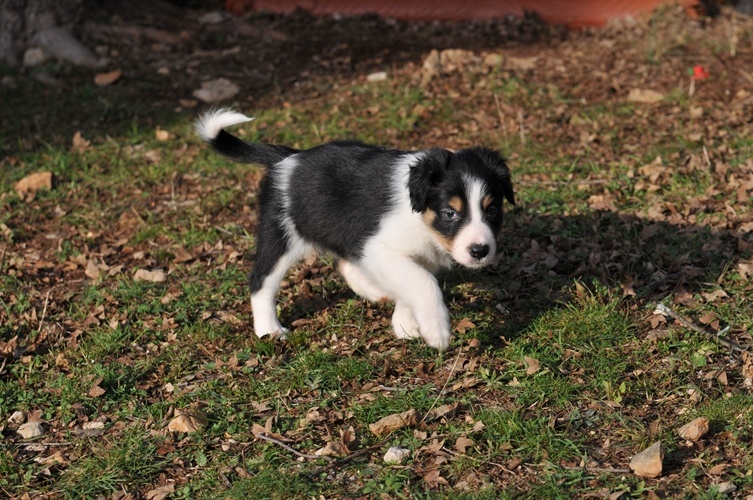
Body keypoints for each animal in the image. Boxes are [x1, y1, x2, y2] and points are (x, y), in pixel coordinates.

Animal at [194, 109, 516, 352]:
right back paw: (269, 330)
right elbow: (423, 282)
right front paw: (436, 330)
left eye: (492, 210)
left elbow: (411, 281)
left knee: (345, 263)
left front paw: (405, 324)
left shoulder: (404, 254)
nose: (480, 251)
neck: (423, 219)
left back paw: (373, 291)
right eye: (451, 213)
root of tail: (288, 158)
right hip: (281, 235)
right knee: (261, 282)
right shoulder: (377, 246)